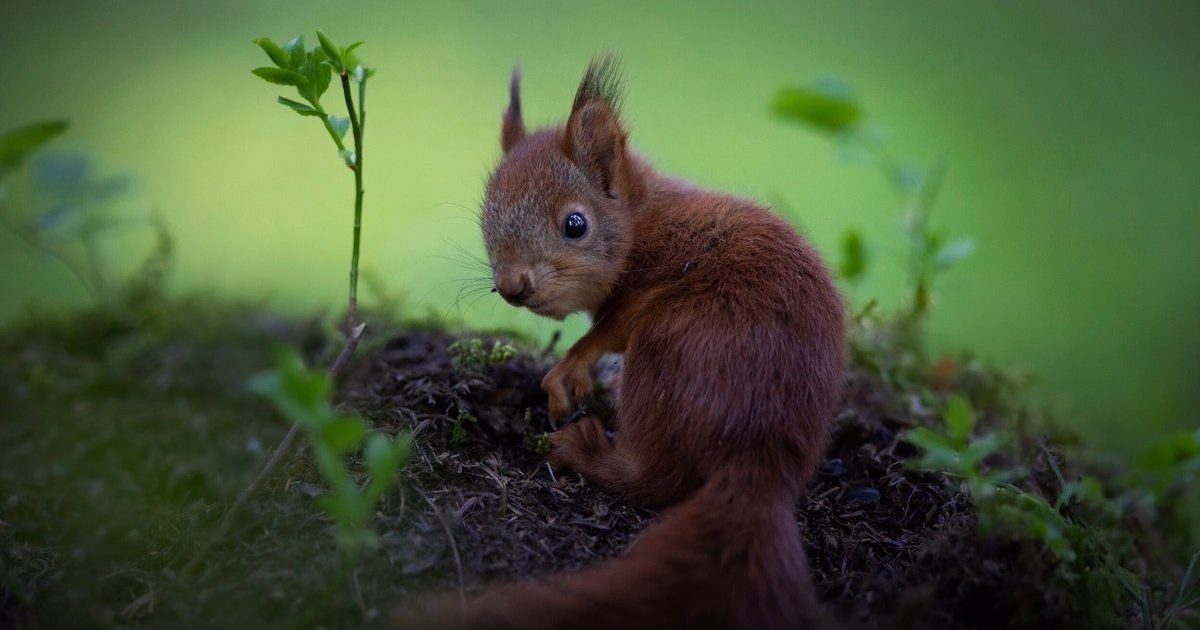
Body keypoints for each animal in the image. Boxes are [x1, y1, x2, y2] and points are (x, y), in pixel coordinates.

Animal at [403, 55, 844, 628]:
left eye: (576, 224)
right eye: (487, 216)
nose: (512, 286)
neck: (641, 219)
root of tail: (760, 457)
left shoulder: (649, 285)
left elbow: (604, 333)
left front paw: (567, 372)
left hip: (667, 349)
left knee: (654, 479)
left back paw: (584, 448)